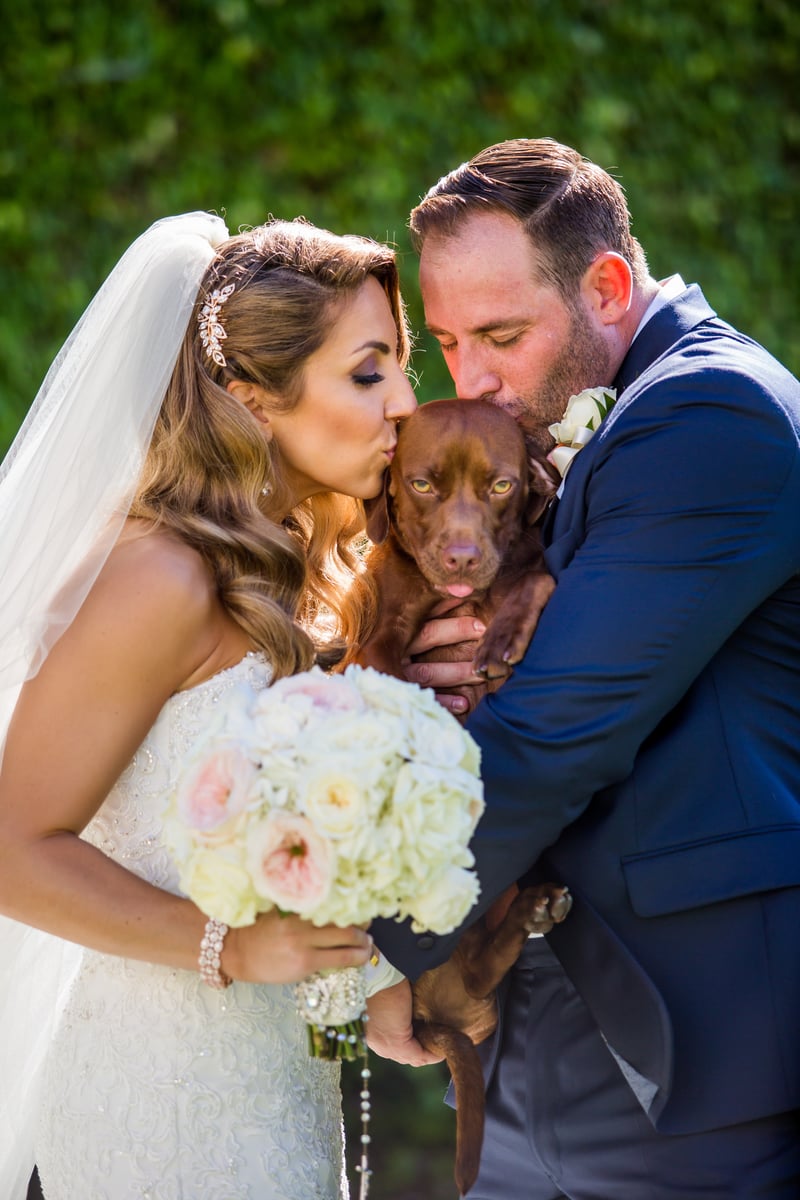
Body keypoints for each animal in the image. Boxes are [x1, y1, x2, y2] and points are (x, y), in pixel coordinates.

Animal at [344, 399, 570, 1195]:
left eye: (501, 485)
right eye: (422, 484)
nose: (464, 558)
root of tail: (429, 1014)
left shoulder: (529, 569)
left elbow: (535, 581)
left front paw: (500, 635)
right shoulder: (377, 637)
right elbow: (386, 673)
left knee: (483, 957)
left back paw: (537, 910)